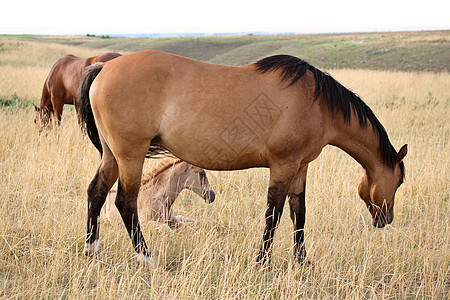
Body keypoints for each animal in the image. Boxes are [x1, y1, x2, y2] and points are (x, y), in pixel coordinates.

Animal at [77, 49, 408, 268]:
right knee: (125, 202)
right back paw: (146, 257)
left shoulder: (300, 166)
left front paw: (302, 261)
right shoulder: (283, 165)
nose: (386, 219)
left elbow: (298, 213)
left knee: (96, 192)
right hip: (130, 155)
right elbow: (274, 215)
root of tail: (104, 68)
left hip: (112, 156)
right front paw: (263, 261)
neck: (318, 103)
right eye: (400, 181)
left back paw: (92, 250)